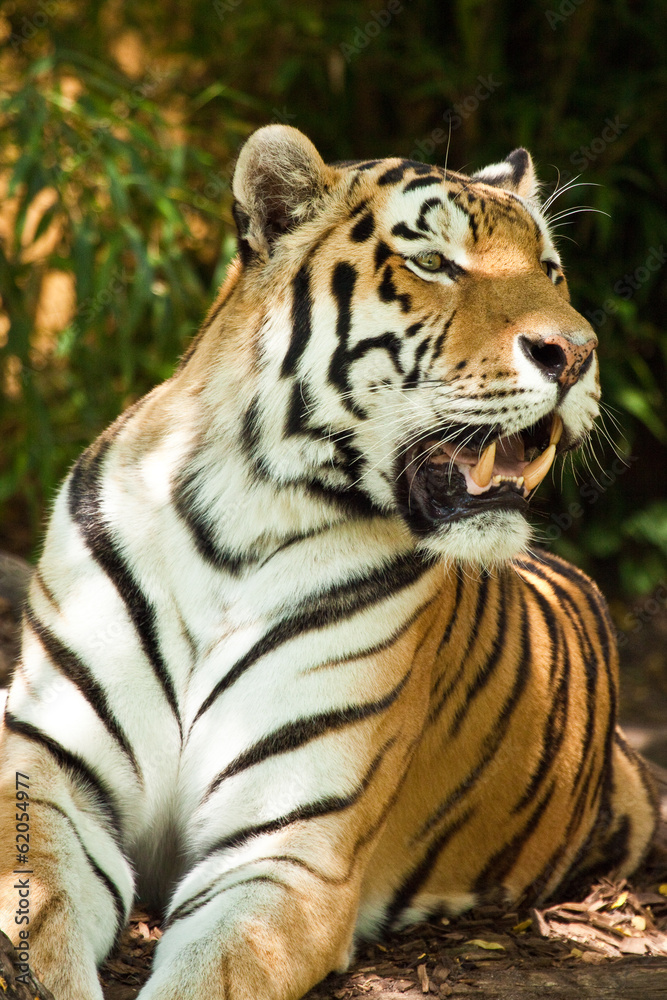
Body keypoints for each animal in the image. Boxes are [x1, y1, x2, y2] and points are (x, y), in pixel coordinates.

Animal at [0, 124, 657, 1000]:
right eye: (434, 262)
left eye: (549, 270)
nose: (578, 353)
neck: (239, 522)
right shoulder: (52, 780)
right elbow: (38, 933)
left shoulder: (290, 850)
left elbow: (207, 976)